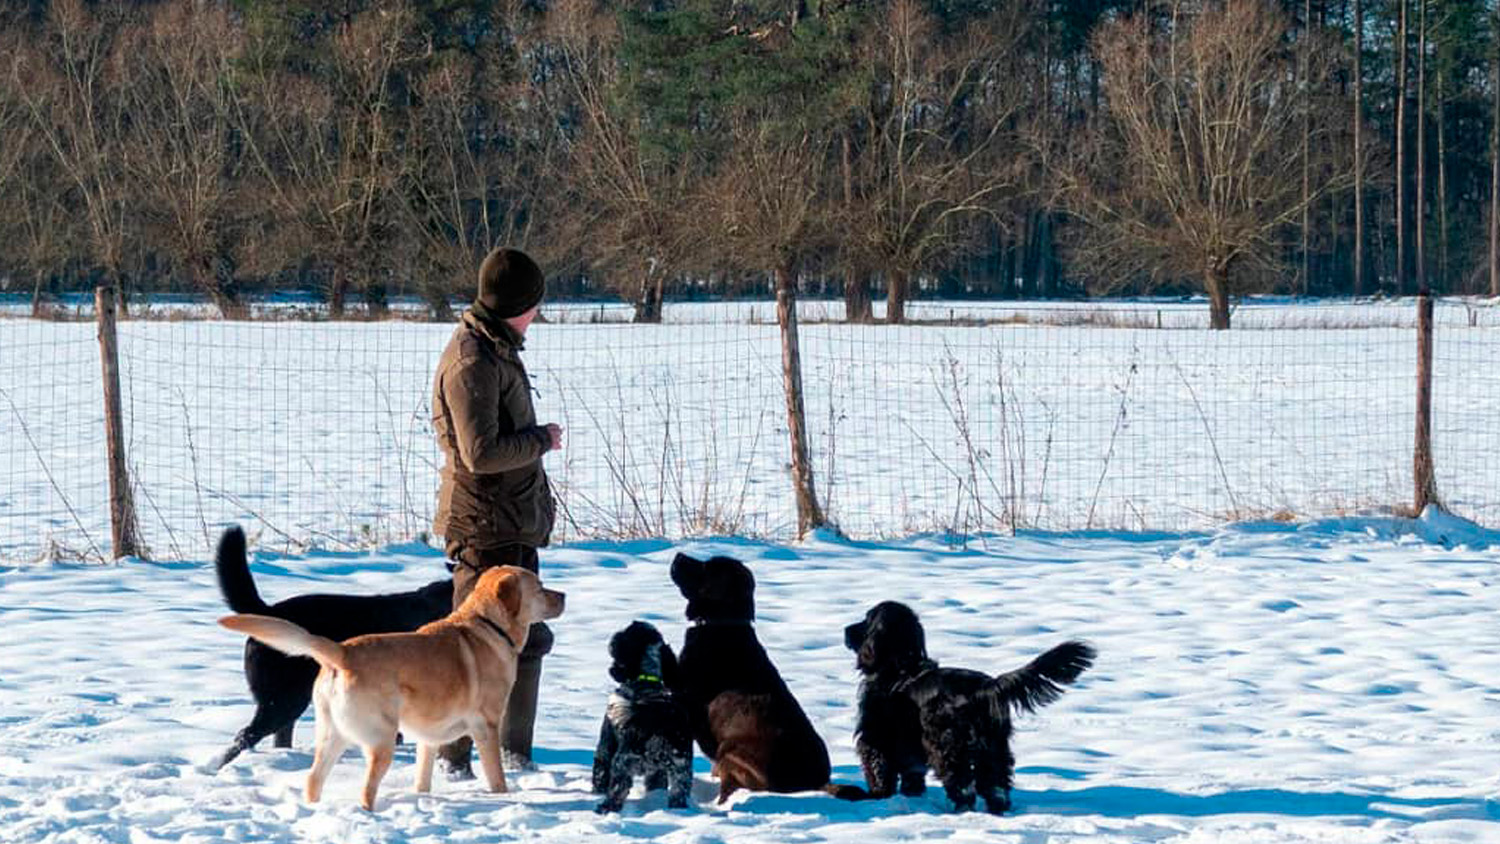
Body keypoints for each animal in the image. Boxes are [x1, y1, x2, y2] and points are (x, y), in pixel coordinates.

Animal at [219, 565, 565, 810]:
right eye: (539, 587)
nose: (563, 595)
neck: (488, 625)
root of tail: (341, 652)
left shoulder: (429, 737)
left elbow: (422, 778)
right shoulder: (486, 726)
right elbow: (497, 777)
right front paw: (501, 797)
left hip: (333, 735)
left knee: (313, 780)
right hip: (380, 739)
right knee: (365, 790)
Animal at [591, 621, 694, 812]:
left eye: (627, 631)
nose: (615, 635)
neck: (647, 680)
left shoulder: (606, 744)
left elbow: (600, 772)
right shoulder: (659, 772)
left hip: (623, 762)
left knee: (617, 791)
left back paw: (604, 808)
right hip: (681, 768)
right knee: (678, 793)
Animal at [844, 600, 1094, 813]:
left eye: (867, 619)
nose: (846, 629)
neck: (899, 667)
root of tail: (983, 687)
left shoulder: (875, 739)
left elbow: (879, 771)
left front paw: (876, 797)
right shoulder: (910, 748)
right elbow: (912, 776)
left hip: (948, 747)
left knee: (964, 788)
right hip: (994, 748)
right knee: (997, 787)